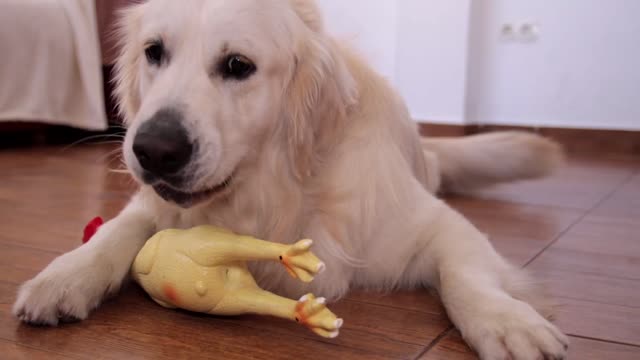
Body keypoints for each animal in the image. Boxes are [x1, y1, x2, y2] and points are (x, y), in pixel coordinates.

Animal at [12, 1, 568, 358]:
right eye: (154, 52)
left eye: (238, 65)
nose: (153, 150)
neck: (273, 196)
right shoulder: (152, 204)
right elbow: (116, 231)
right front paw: (64, 275)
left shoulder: (437, 225)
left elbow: (465, 276)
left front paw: (507, 320)